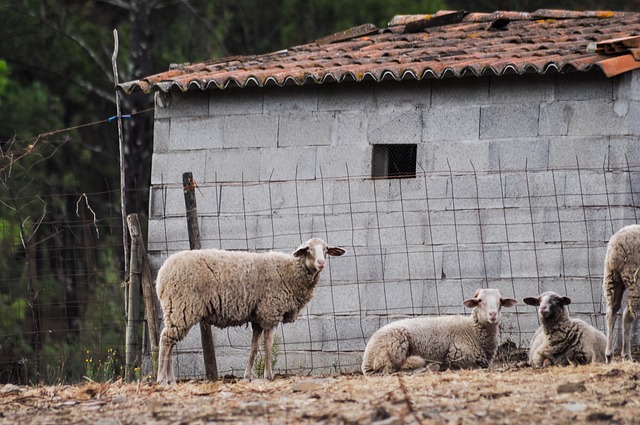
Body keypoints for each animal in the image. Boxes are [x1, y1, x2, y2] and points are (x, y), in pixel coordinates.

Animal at [155, 238, 344, 384]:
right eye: (309, 249)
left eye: (326, 249)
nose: (321, 263)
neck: (290, 271)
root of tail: (163, 272)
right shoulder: (269, 312)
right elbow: (268, 345)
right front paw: (268, 375)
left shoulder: (258, 318)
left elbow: (254, 347)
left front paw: (248, 376)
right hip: (182, 307)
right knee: (165, 340)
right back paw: (161, 379)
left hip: (176, 310)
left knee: (171, 341)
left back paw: (171, 380)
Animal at [362, 286, 516, 372]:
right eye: (479, 301)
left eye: (500, 300)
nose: (493, 314)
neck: (472, 330)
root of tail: (366, 360)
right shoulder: (458, 358)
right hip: (394, 347)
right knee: (394, 368)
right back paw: (429, 366)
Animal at [604, 224, 640, 362]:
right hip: (634, 278)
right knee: (628, 315)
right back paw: (627, 355)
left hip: (612, 279)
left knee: (611, 312)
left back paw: (609, 355)